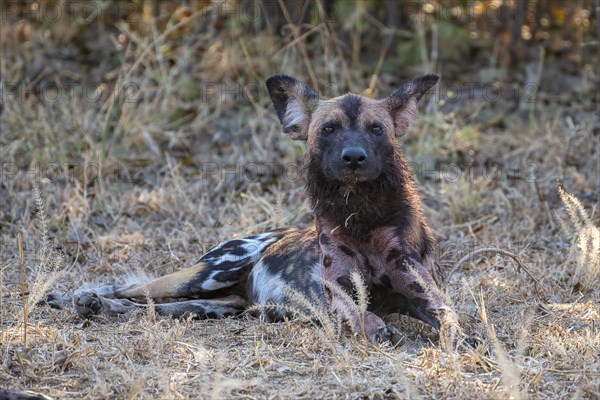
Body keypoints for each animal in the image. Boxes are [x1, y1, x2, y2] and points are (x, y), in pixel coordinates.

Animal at [49, 73, 466, 346]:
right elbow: (360, 313)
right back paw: (80, 298)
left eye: (376, 129)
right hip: (207, 275)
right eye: (328, 129)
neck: (361, 218)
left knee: (147, 306)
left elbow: (450, 318)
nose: (353, 157)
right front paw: (377, 328)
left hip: (210, 305)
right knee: (134, 288)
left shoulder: (418, 288)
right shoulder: (339, 295)